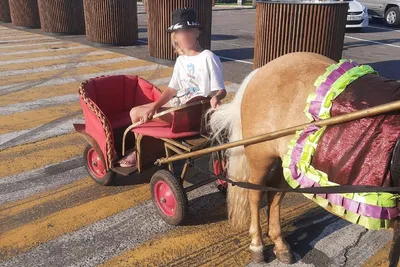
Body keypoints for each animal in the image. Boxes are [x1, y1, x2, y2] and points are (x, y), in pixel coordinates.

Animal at [209, 51, 400, 264]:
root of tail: (262, 70)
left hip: (287, 160)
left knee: (274, 193)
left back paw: (279, 243)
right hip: (260, 155)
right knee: (255, 195)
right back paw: (257, 244)